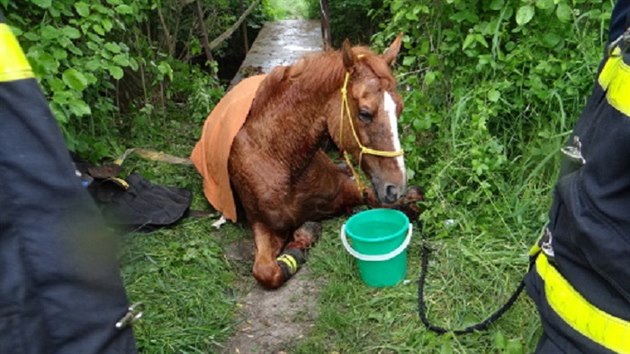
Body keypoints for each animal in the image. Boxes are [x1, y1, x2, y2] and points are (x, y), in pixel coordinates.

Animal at [194, 35, 420, 290]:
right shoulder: (262, 225)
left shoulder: (346, 189)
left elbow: (386, 201)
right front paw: (303, 239)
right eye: (364, 113)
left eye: (399, 109)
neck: (281, 160)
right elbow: (266, 272)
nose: (396, 187)